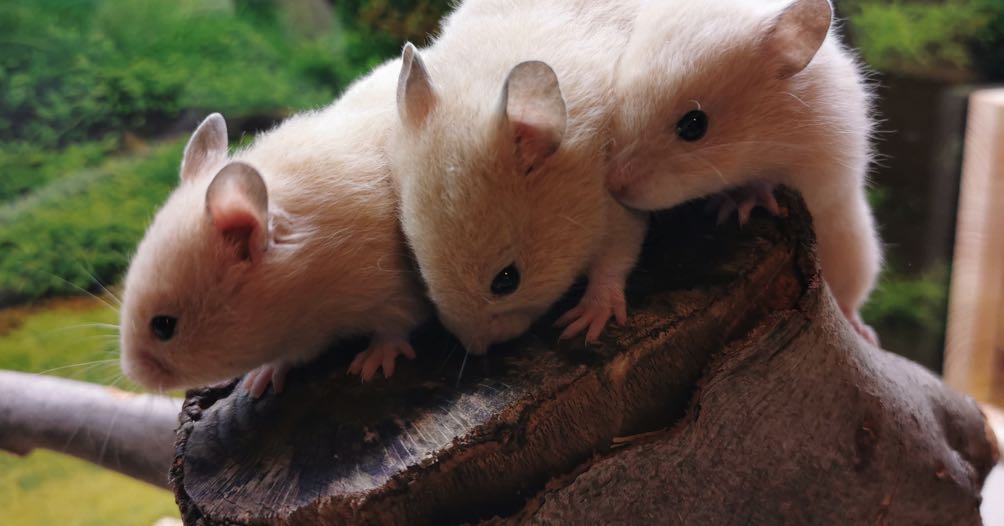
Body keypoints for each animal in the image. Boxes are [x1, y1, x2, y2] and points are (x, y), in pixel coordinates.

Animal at [119, 60, 429, 393]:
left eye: (164, 326)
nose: (132, 374)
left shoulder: (393, 285)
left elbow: (395, 327)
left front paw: (370, 367)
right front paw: (259, 381)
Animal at [387, 0, 646, 355]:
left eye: (507, 280)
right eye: (417, 264)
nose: (475, 348)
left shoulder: (618, 207)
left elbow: (613, 260)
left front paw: (582, 325)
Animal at [602, 0, 879, 343]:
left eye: (694, 125)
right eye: (619, 94)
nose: (612, 185)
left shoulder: (826, 166)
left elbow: (768, 183)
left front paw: (735, 205)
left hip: (855, 251)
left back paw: (864, 331)